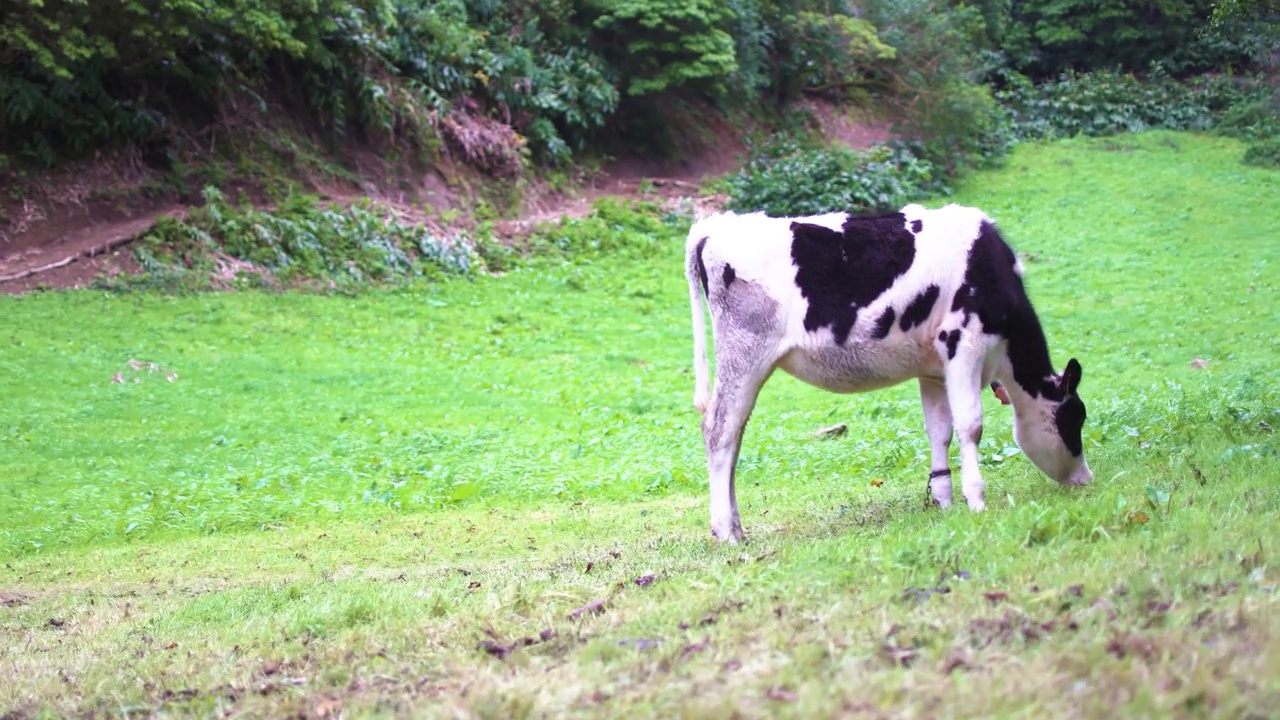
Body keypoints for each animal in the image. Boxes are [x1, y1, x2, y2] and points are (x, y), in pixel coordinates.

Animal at [686, 198, 1095, 540]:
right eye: (1075, 418)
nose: (1086, 479)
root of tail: (714, 227)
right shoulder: (964, 343)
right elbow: (970, 425)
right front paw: (976, 500)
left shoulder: (933, 370)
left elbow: (939, 432)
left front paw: (943, 500)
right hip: (745, 353)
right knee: (720, 430)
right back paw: (726, 532)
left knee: (733, 435)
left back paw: (736, 526)